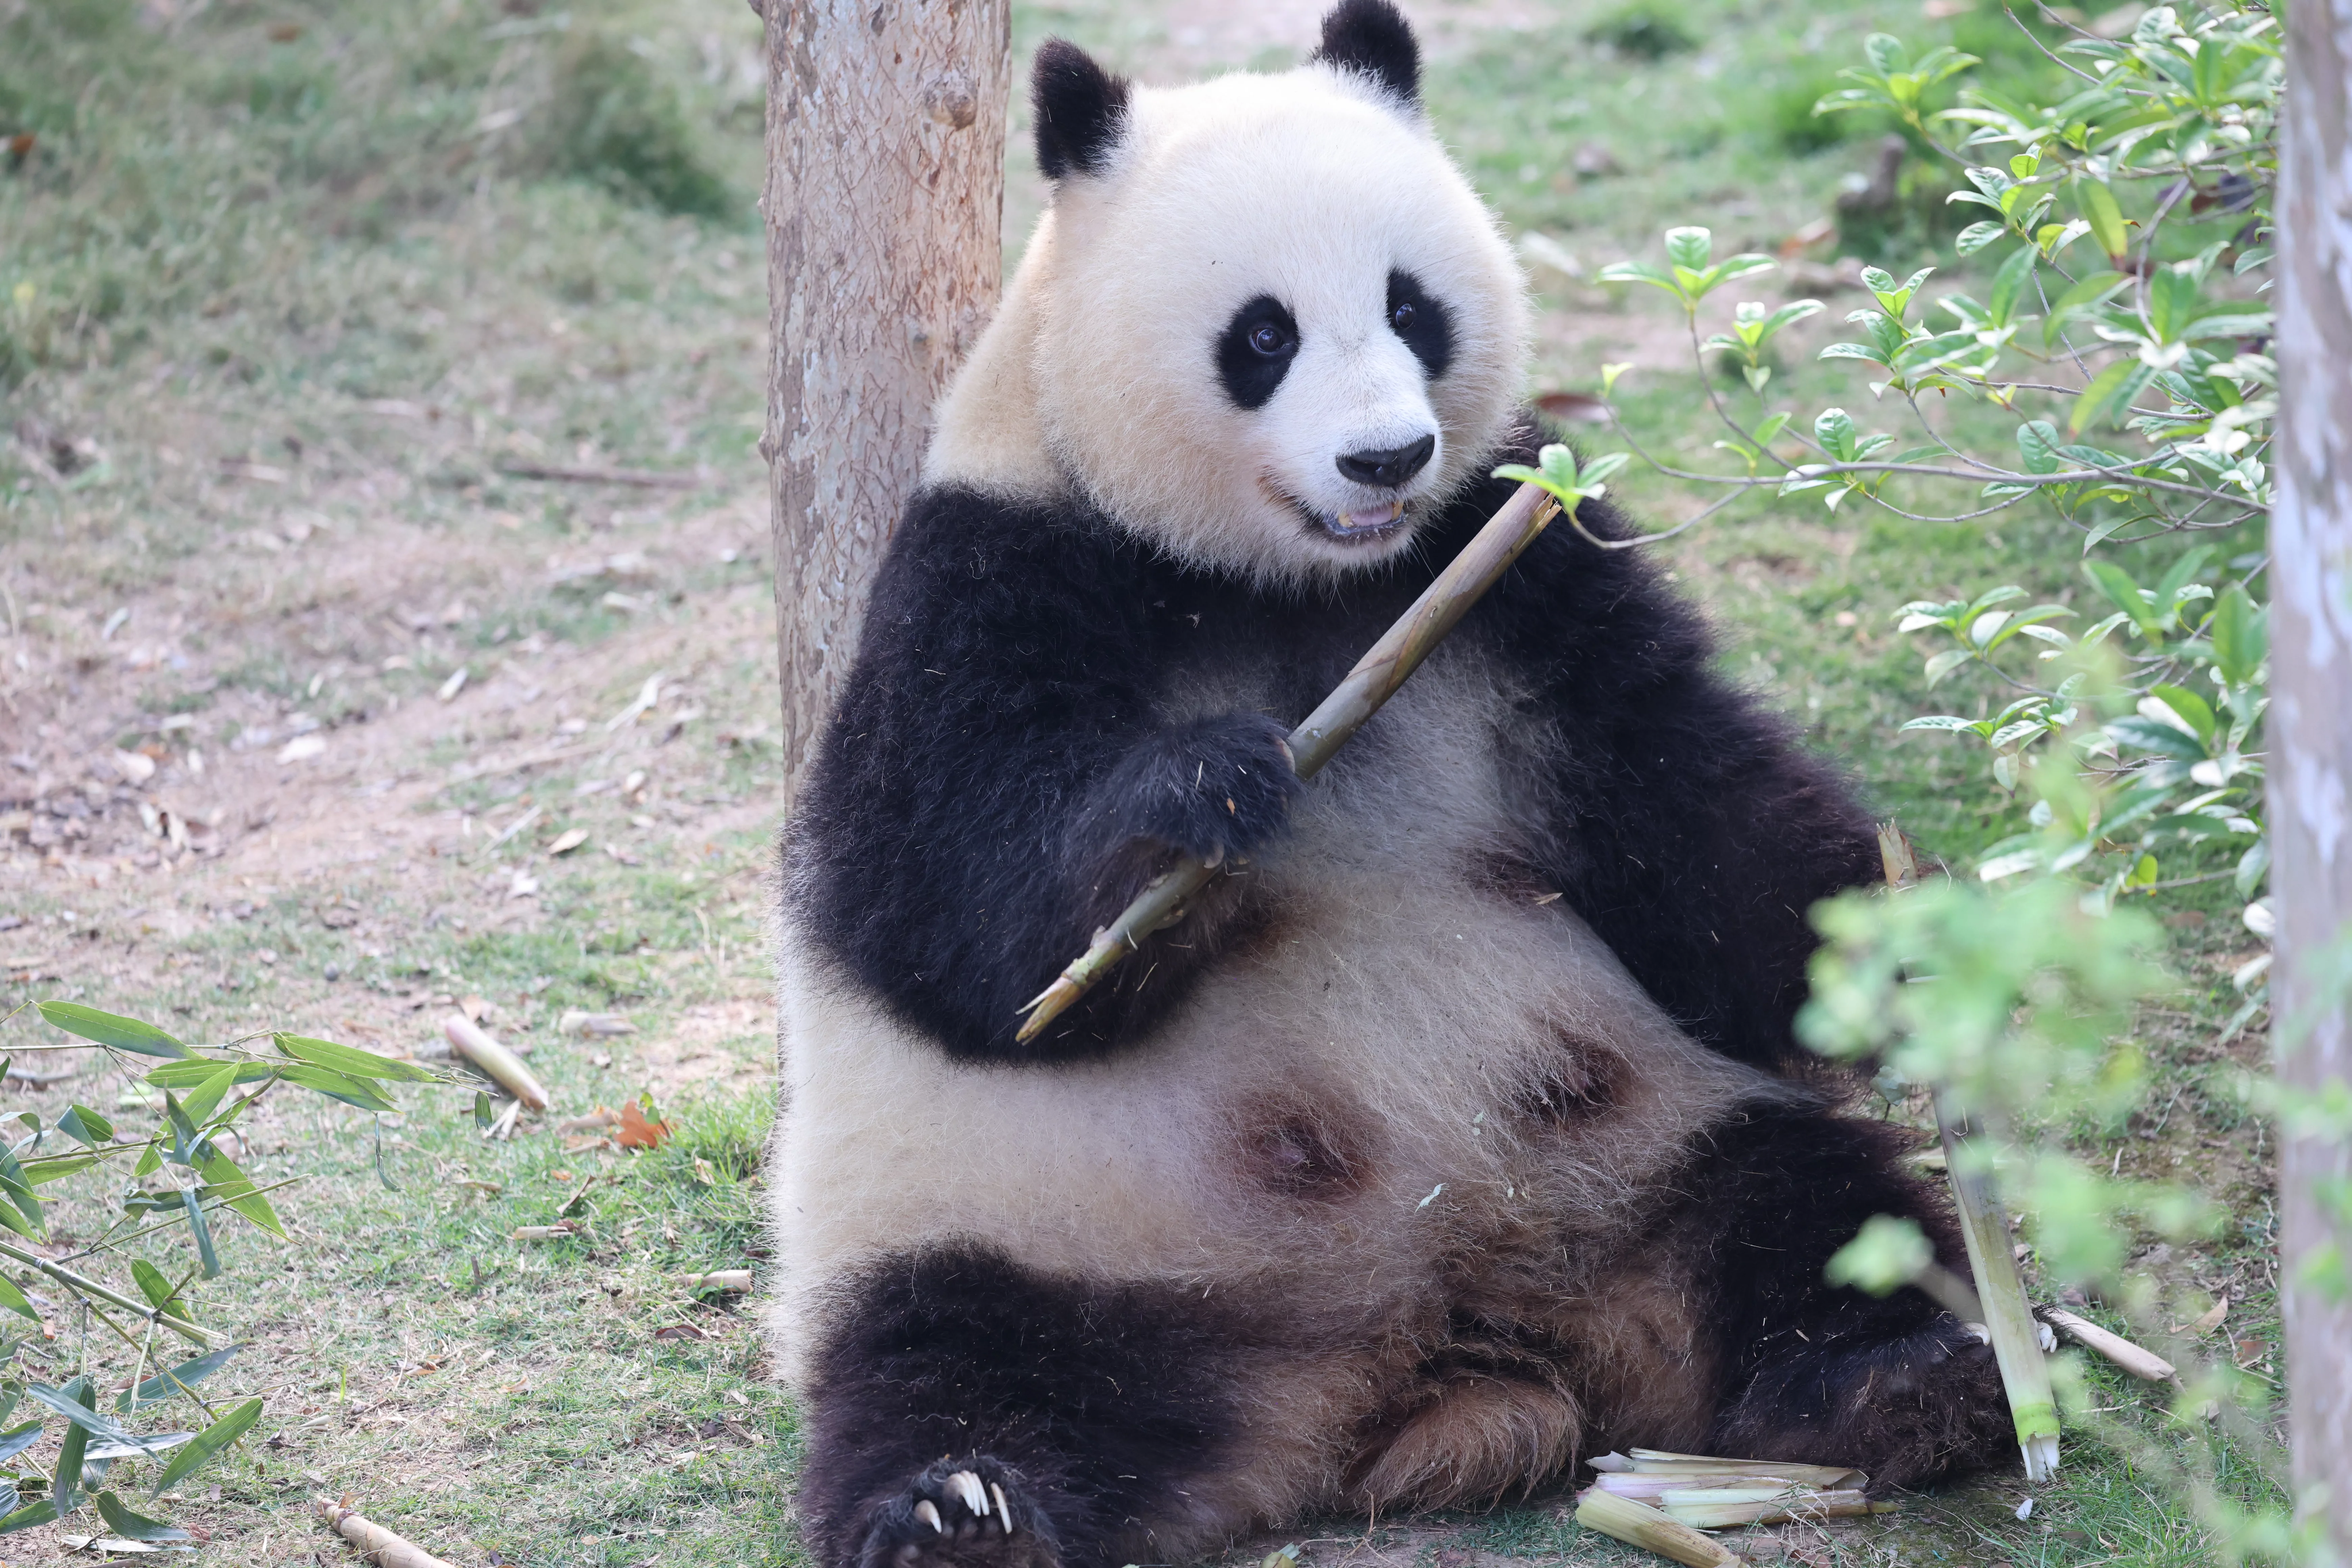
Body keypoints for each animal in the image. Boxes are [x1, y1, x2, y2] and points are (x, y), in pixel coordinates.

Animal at [767, 5, 2015, 1566]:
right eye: (1262, 336)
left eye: (1411, 306)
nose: (1385, 455)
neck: (1305, 583)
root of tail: (1444, 1344)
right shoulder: (991, 572)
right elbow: (936, 910)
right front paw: (1199, 796)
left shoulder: (1519, 559)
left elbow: (1692, 812)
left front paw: (1909, 950)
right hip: (1039, 1235)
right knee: (955, 1361)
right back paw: (960, 1507)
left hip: (1660, 1143)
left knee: (1814, 1212)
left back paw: (1908, 1374)